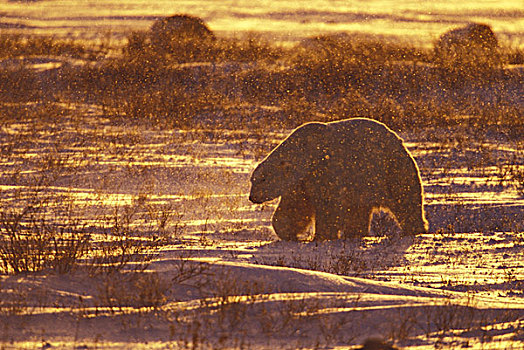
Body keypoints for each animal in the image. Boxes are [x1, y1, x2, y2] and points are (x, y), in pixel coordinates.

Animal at [251, 117, 430, 241]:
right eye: (253, 180)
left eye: (263, 179)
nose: (252, 197)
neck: (306, 152)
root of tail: (400, 142)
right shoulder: (301, 181)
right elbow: (294, 206)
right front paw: (289, 233)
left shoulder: (324, 168)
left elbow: (327, 204)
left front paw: (321, 236)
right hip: (363, 185)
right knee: (359, 210)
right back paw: (354, 234)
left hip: (391, 168)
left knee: (405, 200)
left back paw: (416, 229)